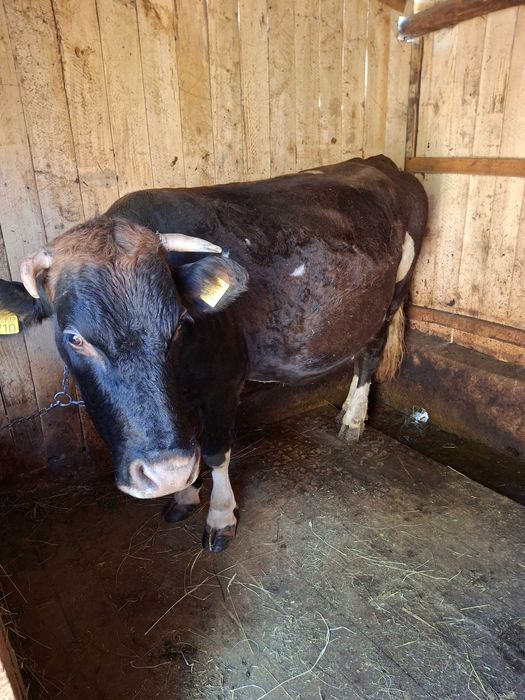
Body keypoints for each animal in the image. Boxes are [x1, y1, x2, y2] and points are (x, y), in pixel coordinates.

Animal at [0, 156, 427, 551]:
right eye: (74, 338)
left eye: (178, 323)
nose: (165, 474)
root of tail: (378, 162)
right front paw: (182, 493)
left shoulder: (223, 381)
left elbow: (215, 452)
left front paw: (220, 516)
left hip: (392, 298)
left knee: (369, 356)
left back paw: (353, 421)